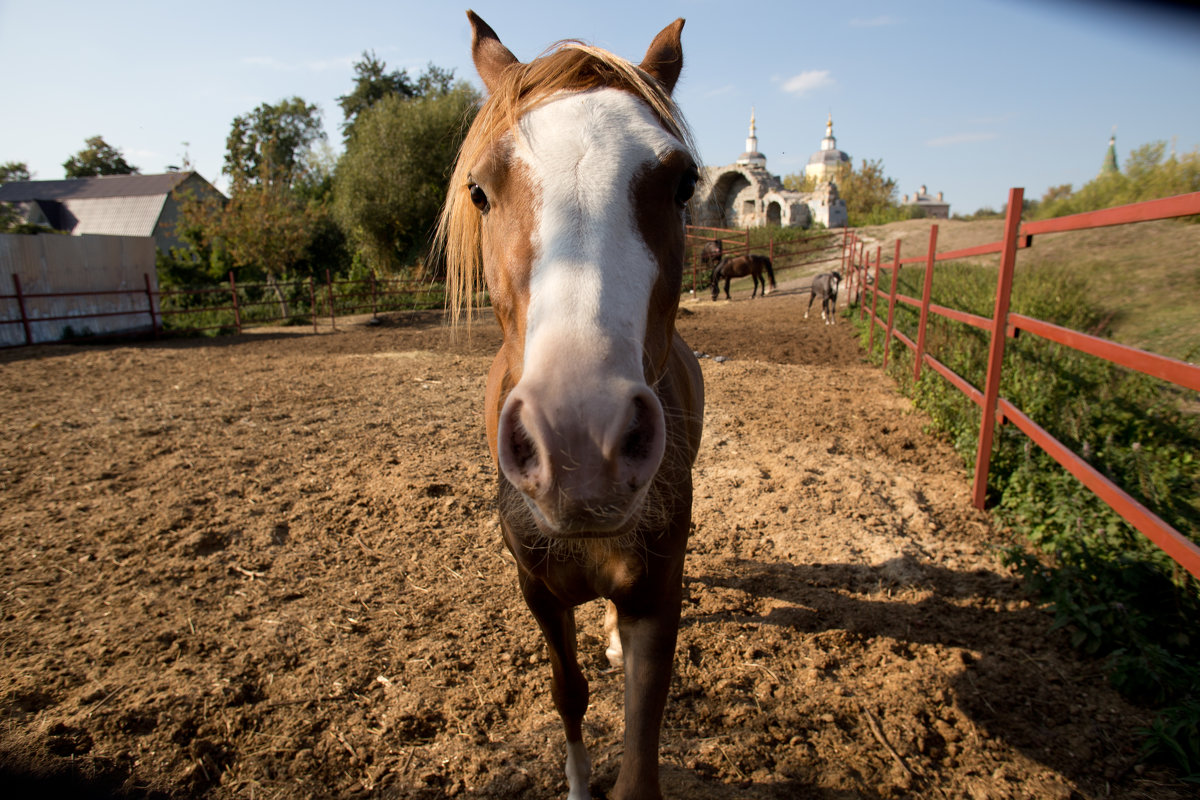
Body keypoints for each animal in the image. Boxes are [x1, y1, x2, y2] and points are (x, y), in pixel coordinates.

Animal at [439, 12, 700, 800]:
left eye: (684, 184)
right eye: (480, 191)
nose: (582, 445)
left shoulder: (657, 594)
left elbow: (642, 741)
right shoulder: (539, 593)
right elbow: (569, 694)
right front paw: (579, 784)